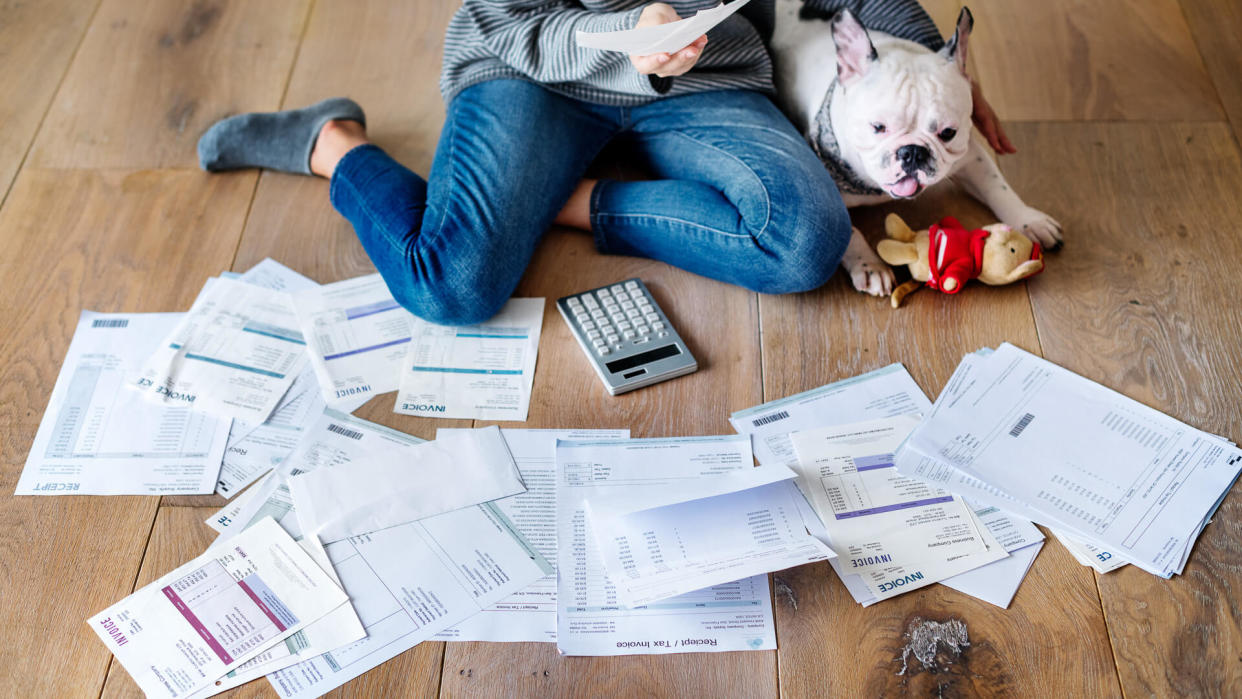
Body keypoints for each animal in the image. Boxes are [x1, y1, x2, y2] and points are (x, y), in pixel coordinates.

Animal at [770, 2, 1063, 295]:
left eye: (948, 133)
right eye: (878, 127)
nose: (912, 152)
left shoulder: (971, 156)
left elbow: (998, 186)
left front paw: (1030, 220)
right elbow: (847, 231)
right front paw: (869, 266)